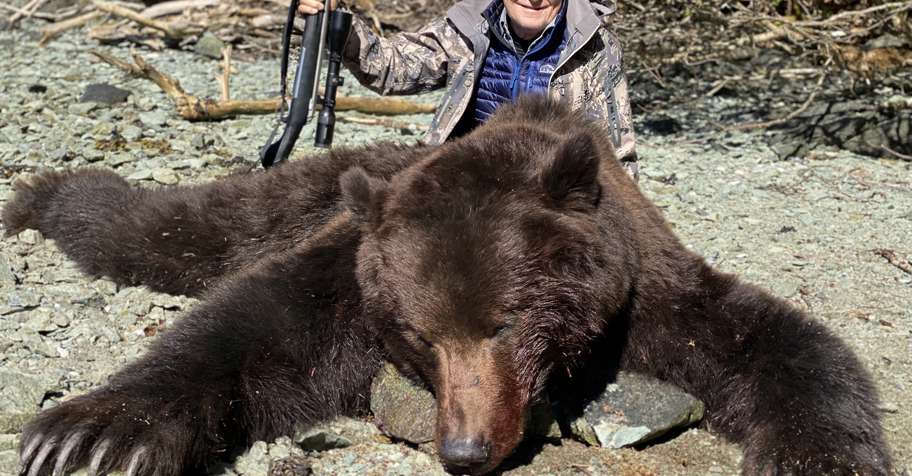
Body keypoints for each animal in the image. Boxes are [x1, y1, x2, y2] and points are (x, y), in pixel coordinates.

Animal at [2, 97, 892, 476]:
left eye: (507, 322)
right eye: (420, 335)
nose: (464, 451)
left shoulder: (649, 297)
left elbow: (777, 341)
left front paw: (823, 460)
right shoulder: (350, 274)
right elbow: (256, 325)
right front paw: (89, 434)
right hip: (316, 191)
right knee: (171, 228)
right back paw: (42, 197)